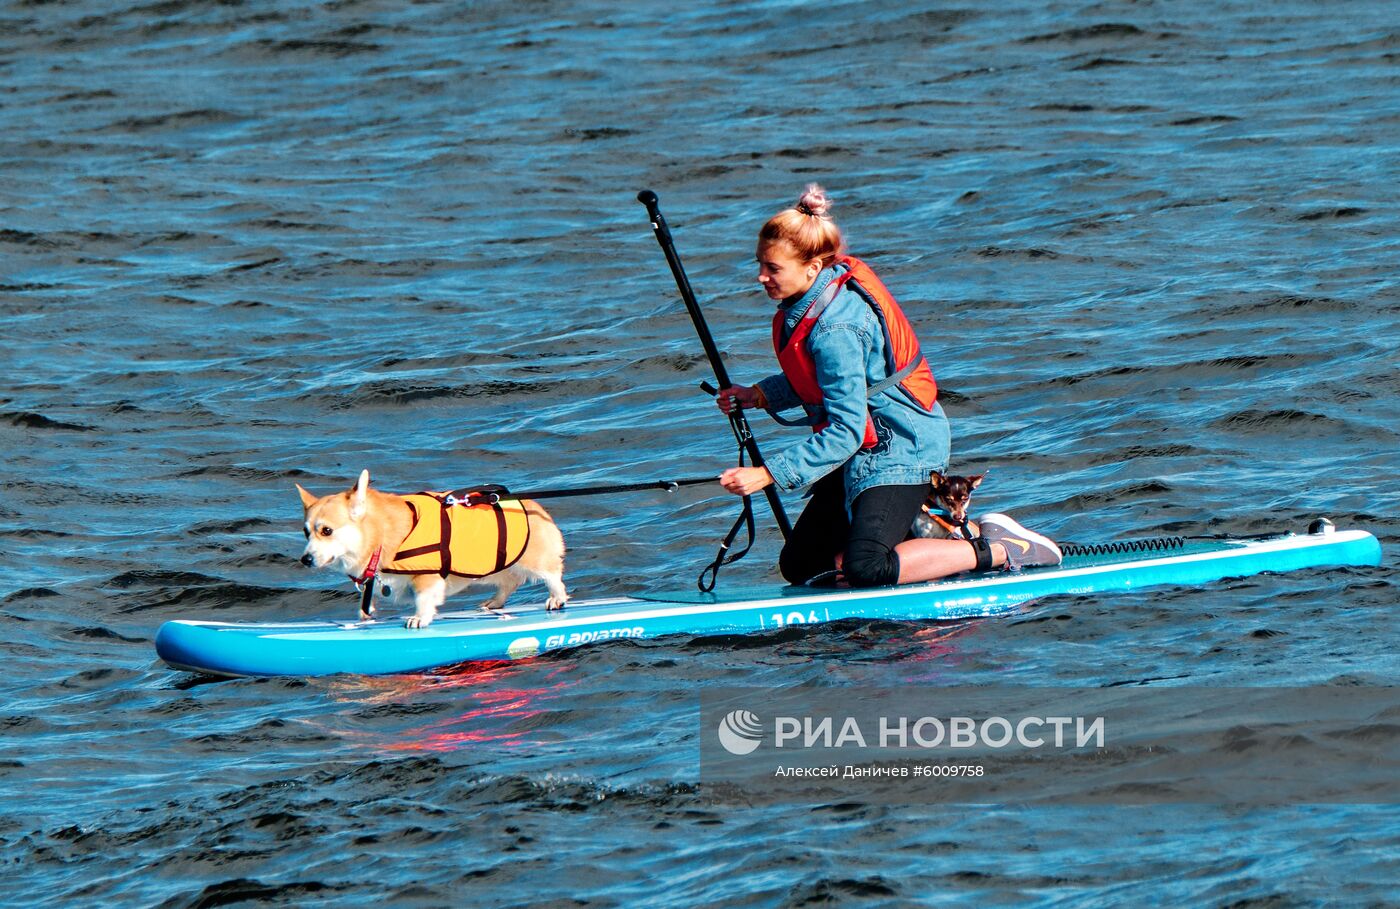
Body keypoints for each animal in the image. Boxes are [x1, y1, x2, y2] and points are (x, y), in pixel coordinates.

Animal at [298, 467, 565, 624]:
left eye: (327, 530)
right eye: (306, 532)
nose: (305, 560)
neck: (378, 533)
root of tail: (535, 506)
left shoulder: (427, 577)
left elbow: (424, 599)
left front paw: (419, 618)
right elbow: (365, 606)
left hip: (533, 561)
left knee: (553, 577)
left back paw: (556, 599)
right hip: (492, 566)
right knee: (510, 581)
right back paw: (494, 603)